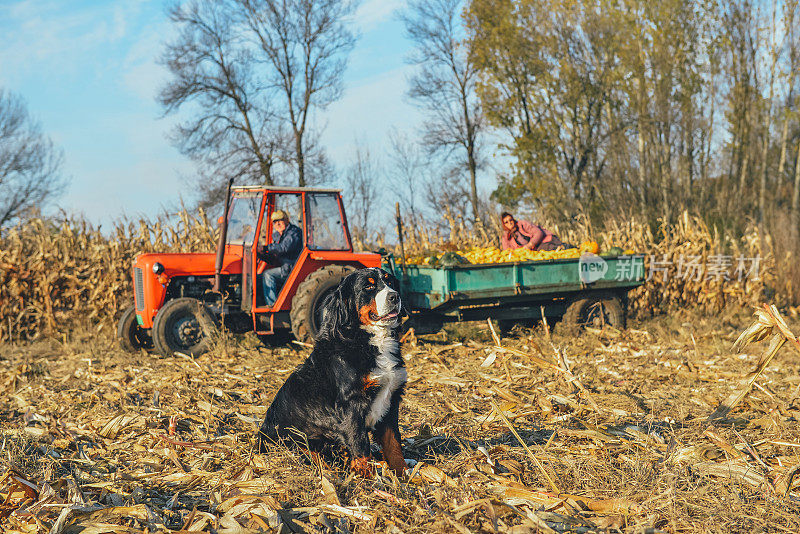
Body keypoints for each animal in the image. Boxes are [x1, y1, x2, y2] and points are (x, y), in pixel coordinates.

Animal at [256, 268, 406, 478]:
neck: (369, 341)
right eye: (368, 286)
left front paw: (406, 475)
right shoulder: (352, 403)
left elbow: (394, 445)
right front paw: (368, 478)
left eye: (390, 281)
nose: (395, 296)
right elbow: (360, 445)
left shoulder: (391, 399)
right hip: (298, 441)